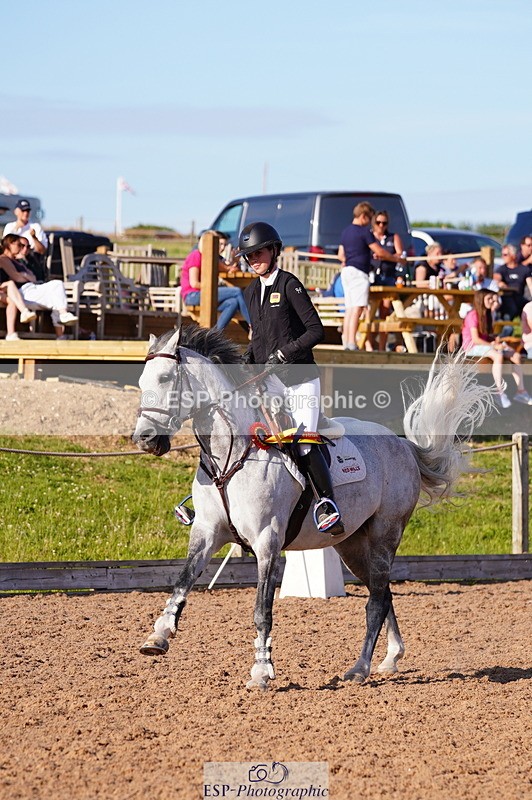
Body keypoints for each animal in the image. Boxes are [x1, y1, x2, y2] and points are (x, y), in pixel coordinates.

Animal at [132, 324, 493, 689]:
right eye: (141, 381)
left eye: (165, 378)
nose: (145, 440)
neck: (230, 456)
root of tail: (404, 445)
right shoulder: (207, 532)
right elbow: (182, 581)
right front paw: (157, 637)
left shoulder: (267, 541)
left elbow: (262, 610)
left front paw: (261, 672)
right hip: (352, 545)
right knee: (384, 591)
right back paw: (391, 658)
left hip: (384, 535)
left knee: (376, 601)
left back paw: (360, 668)